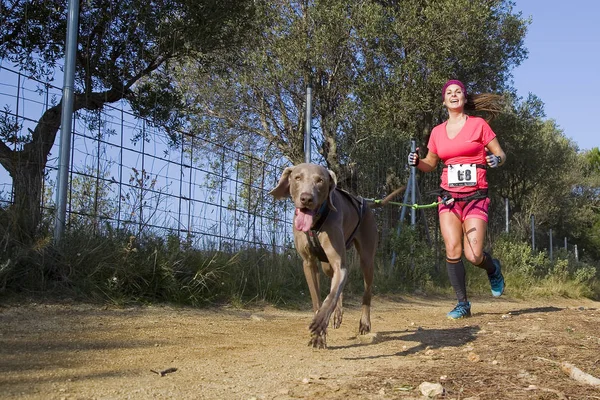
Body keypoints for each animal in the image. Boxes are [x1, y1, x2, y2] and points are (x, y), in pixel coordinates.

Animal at [270, 162, 378, 346]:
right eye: (297, 177)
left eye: (320, 180)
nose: (306, 198)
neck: (314, 223)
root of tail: (366, 203)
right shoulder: (309, 264)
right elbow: (318, 299)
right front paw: (318, 336)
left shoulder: (340, 264)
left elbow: (331, 296)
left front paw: (320, 322)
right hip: (326, 265)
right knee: (336, 283)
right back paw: (338, 315)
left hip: (366, 258)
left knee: (366, 291)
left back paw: (364, 323)